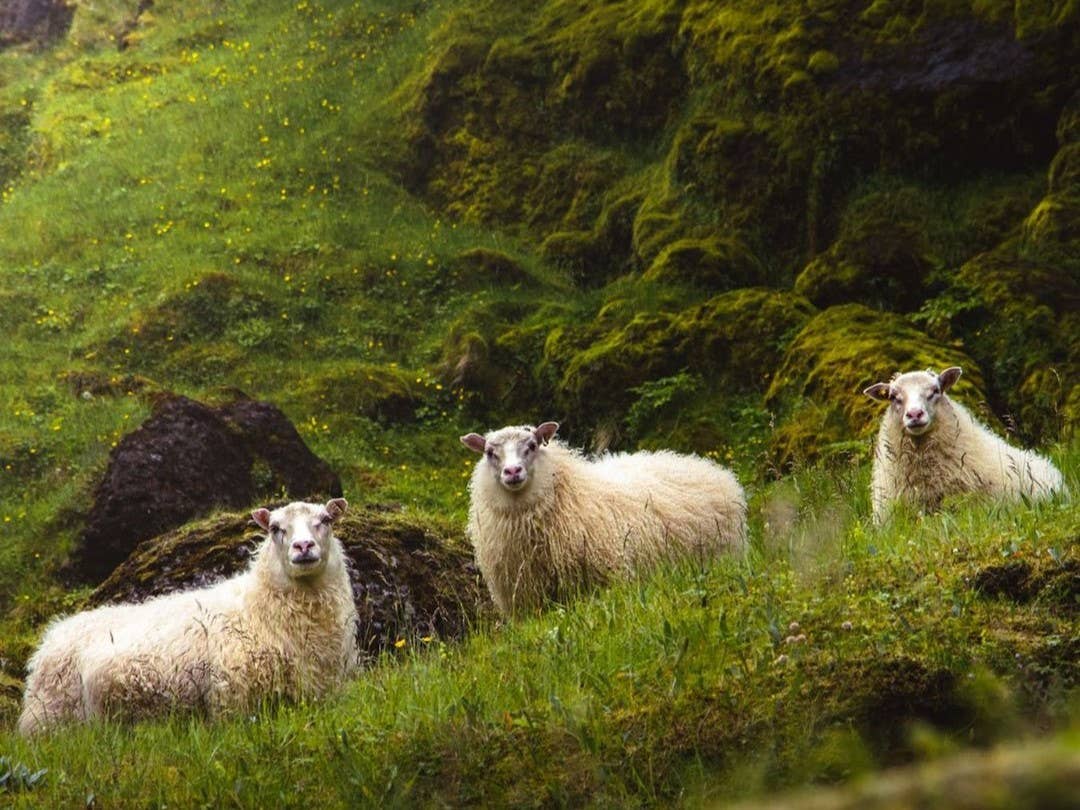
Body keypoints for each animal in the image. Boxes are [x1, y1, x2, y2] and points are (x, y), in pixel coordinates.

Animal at [18, 499, 358, 735]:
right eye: (275, 528)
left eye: (325, 520)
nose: (303, 546)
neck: (259, 608)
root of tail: (51, 637)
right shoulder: (231, 695)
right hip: (52, 716)